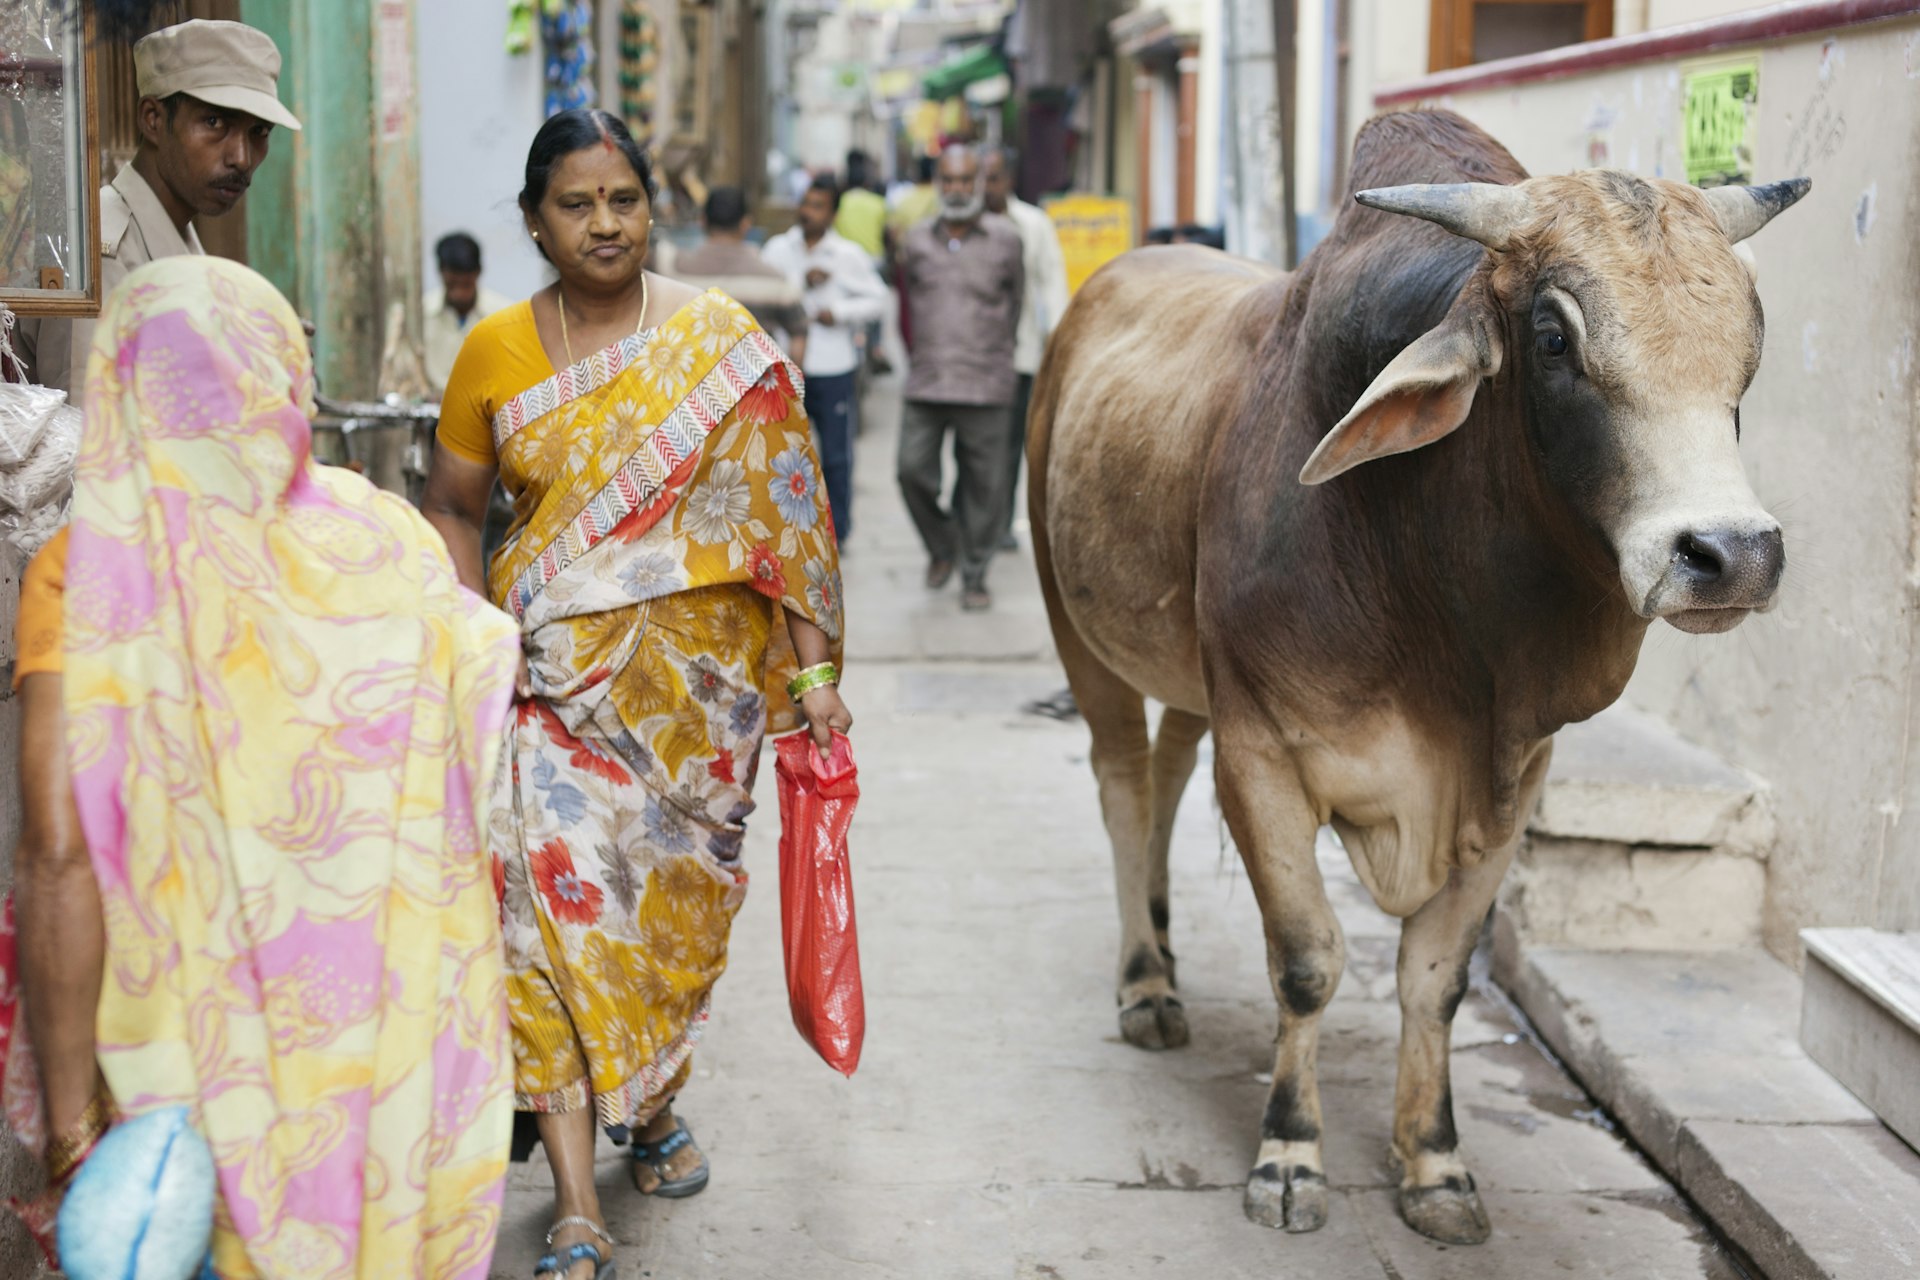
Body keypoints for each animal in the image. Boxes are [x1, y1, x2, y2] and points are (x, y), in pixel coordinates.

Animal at [1029, 107, 1804, 1243]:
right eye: (1555, 338)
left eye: (1751, 340)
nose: (1731, 553)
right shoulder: (1262, 752)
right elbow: (1308, 959)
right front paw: (1290, 1155)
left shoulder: (1511, 782)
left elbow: (1434, 979)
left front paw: (1435, 1163)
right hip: (1078, 633)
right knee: (1126, 784)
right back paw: (1144, 983)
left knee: (1165, 773)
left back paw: (1163, 949)